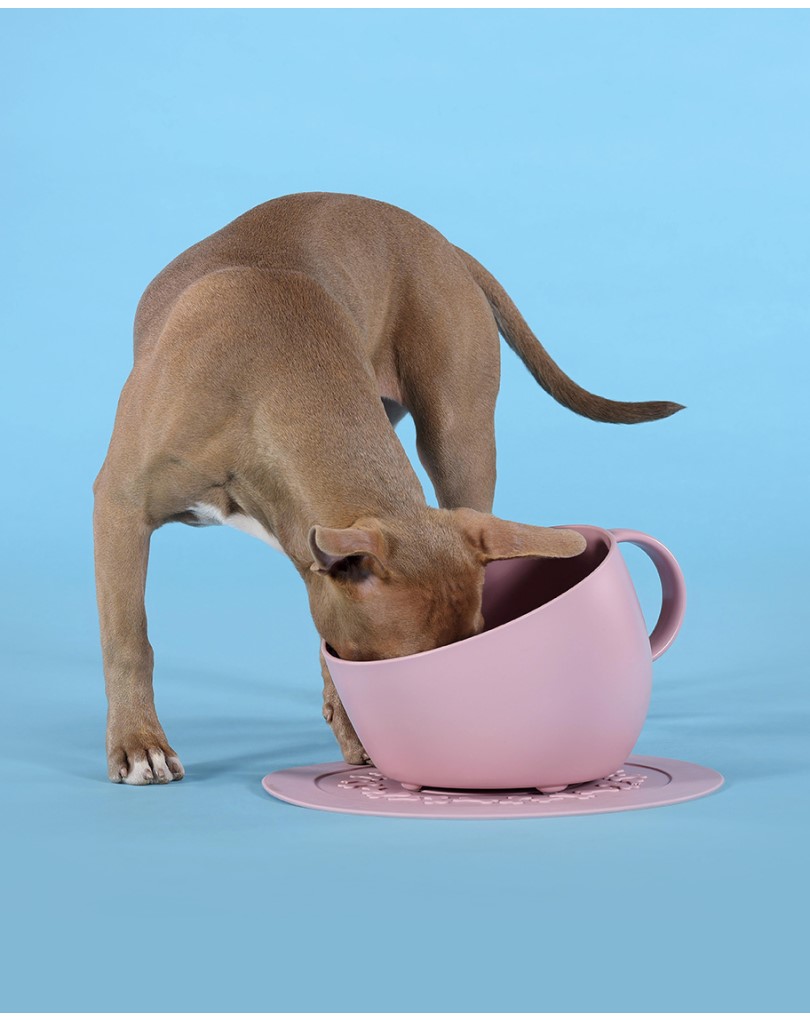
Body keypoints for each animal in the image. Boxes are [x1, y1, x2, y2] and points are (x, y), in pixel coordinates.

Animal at [93, 192, 682, 784]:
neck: (264, 378)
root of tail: (443, 244)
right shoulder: (120, 507)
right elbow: (128, 636)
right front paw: (140, 743)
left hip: (460, 441)